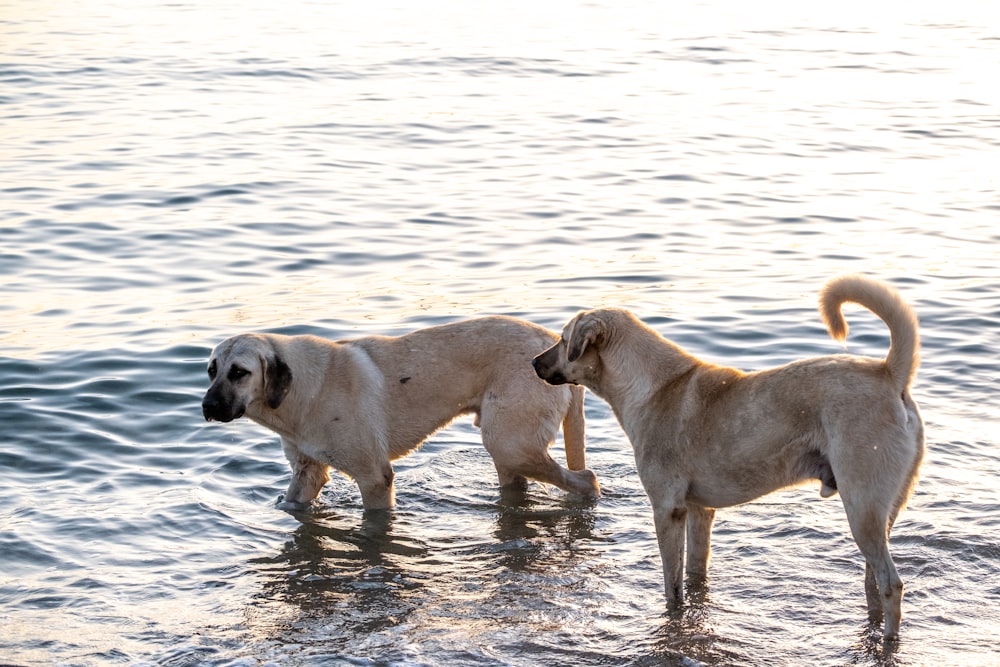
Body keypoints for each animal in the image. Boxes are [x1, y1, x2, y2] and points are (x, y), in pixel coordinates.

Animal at [199, 318, 596, 512]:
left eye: (239, 372)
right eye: (211, 370)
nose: (207, 407)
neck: (303, 388)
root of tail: (552, 349)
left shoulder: (375, 476)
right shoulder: (307, 472)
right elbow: (293, 504)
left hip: (509, 442)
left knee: (587, 479)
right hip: (509, 450)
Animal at [536, 274, 924, 640]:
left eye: (564, 339)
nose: (534, 362)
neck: (654, 386)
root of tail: (889, 374)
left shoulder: (667, 509)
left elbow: (672, 587)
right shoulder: (699, 510)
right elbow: (695, 573)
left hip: (862, 507)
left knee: (891, 584)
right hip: (883, 512)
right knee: (874, 584)